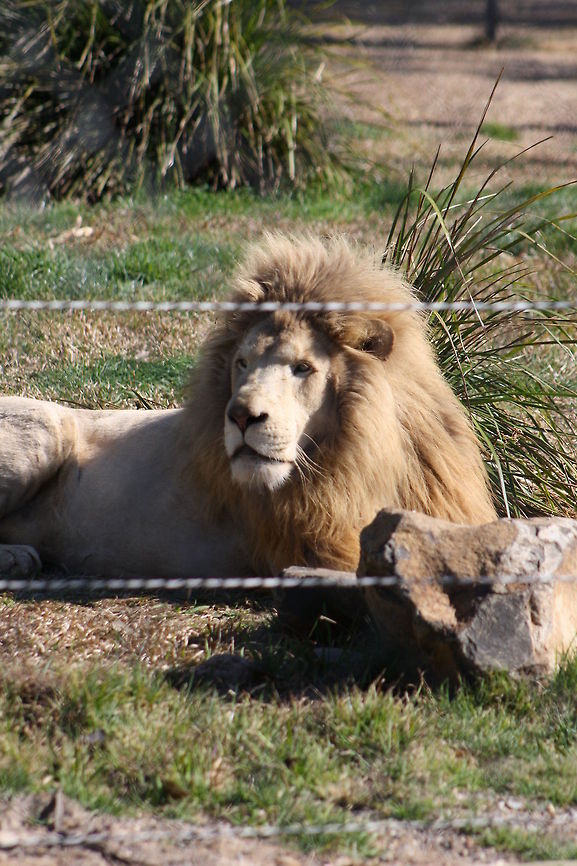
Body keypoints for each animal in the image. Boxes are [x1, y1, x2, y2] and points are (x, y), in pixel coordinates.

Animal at [0, 234, 496, 582]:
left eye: (301, 367)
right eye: (242, 363)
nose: (240, 416)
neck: (364, 458)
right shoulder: (312, 546)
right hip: (49, 425)